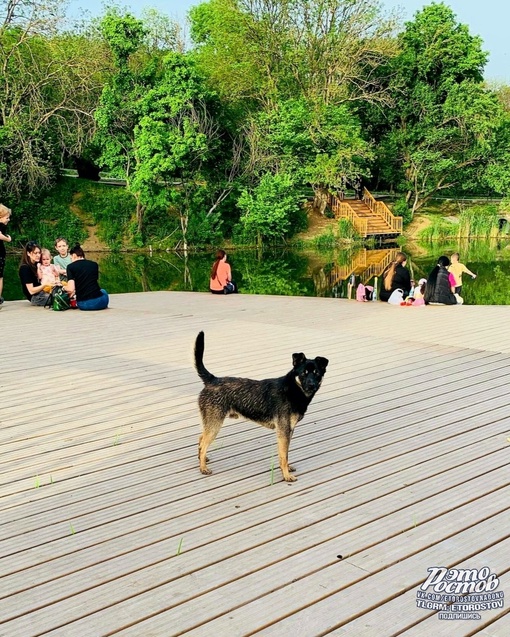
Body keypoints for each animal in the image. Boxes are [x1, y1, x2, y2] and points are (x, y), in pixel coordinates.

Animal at [193, 330, 328, 480]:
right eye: (304, 374)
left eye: (317, 374)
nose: (311, 385)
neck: (292, 389)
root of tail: (212, 380)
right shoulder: (283, 431)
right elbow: (284, 456)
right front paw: (286, 475)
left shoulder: (289, 431)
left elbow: (285, 454)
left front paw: (287, 469)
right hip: (215, 425)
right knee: (203, 444)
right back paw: (203, 467)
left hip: (211, 424)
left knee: (201, 439)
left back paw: (203, 459)